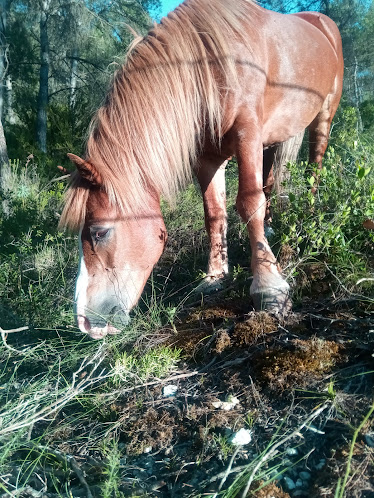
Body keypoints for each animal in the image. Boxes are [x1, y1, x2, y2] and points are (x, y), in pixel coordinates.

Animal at [60, 0, 344, 338]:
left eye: (99, 232)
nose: (85, 323)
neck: (208, 64)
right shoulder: (208, 156)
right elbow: (214, 214)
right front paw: (214, 278)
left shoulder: (248, 132)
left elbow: (249, 202)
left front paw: (269, 287)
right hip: (274, 136)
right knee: (271, 178)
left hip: (323, 116)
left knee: (314, 168)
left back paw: (309, 219)